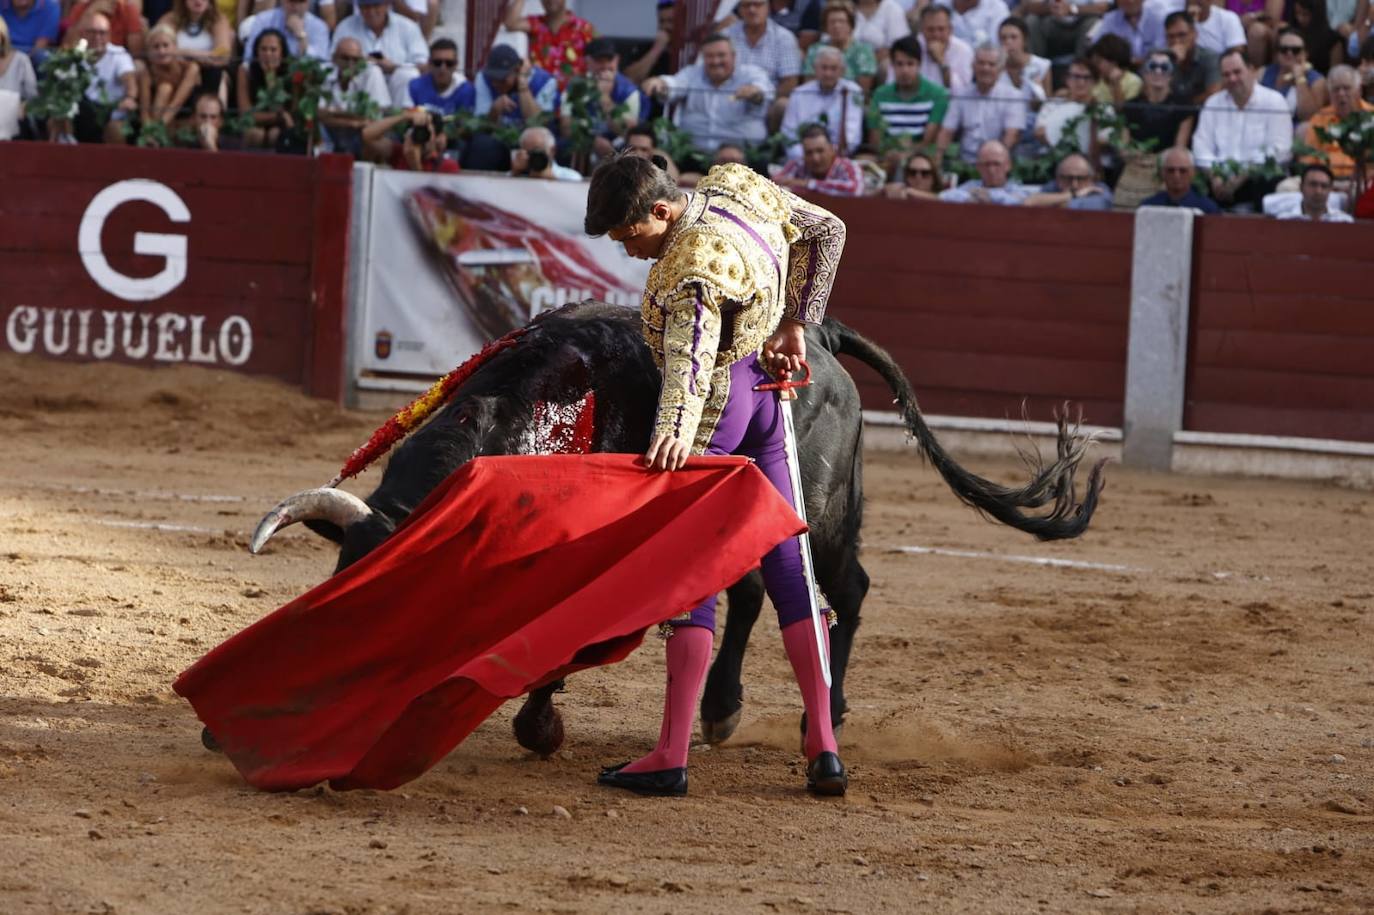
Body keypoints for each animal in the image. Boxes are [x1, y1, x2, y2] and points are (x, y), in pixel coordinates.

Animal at [247, 302, 1104, 752]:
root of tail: (819, 340)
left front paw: (539, 722)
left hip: (824, 511)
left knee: (843, 590)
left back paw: (818, 712)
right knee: (755, 593)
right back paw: (723, 707)